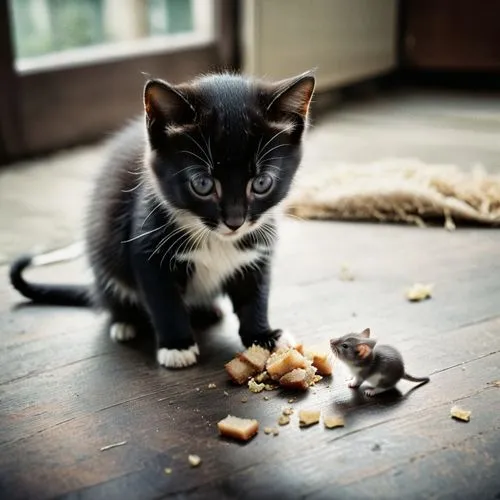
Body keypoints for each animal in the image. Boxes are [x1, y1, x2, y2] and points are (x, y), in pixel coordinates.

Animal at [9, 69, 314, 368]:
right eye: (202, 184)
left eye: (262, 183)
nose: (235, 221)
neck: (213, 238)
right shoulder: (147, 244)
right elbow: (163, 300)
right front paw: (177, 346)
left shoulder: (257, 248)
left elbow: (255, 294)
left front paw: (264, 336)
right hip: (104, 253)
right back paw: (125, 322)